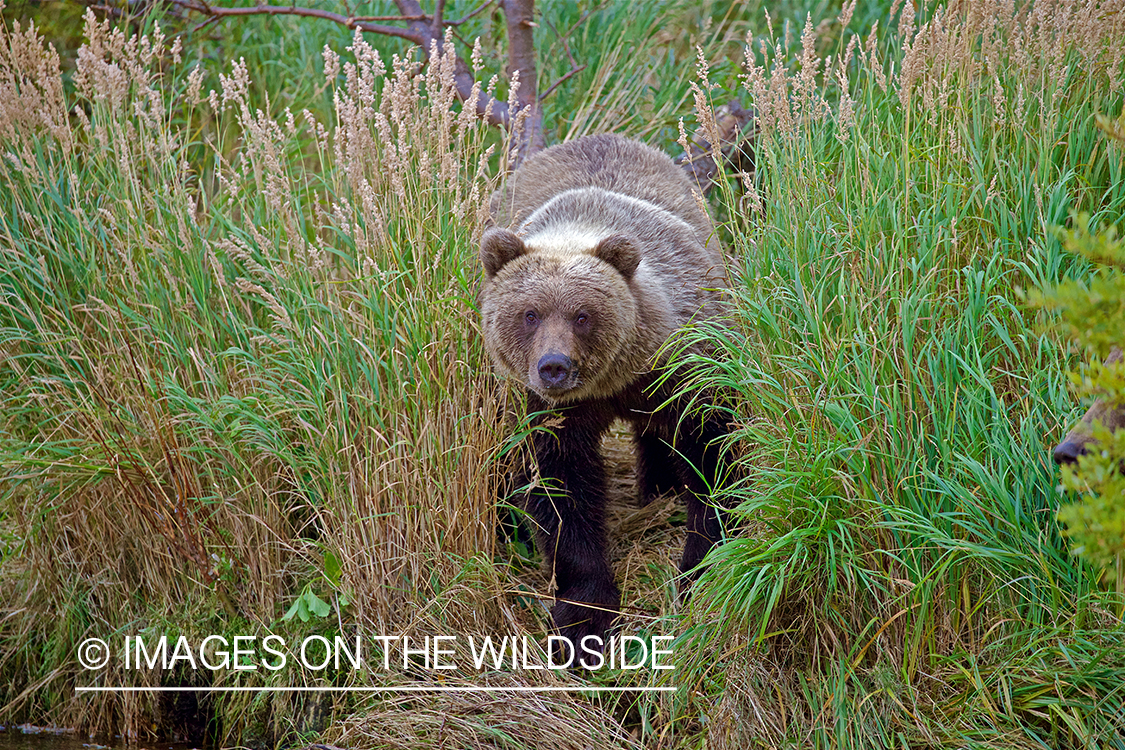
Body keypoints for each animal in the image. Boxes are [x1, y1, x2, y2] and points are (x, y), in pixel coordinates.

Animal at [479, 133, 732, 650]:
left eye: (582, 315)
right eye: (529, 314)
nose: (554, 366)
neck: (611, 380)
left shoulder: (678, 366)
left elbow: (710, 451)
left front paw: (699, 568)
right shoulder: (547, 410)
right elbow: (560, 488)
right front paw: (583, 616)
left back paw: (659, 486)